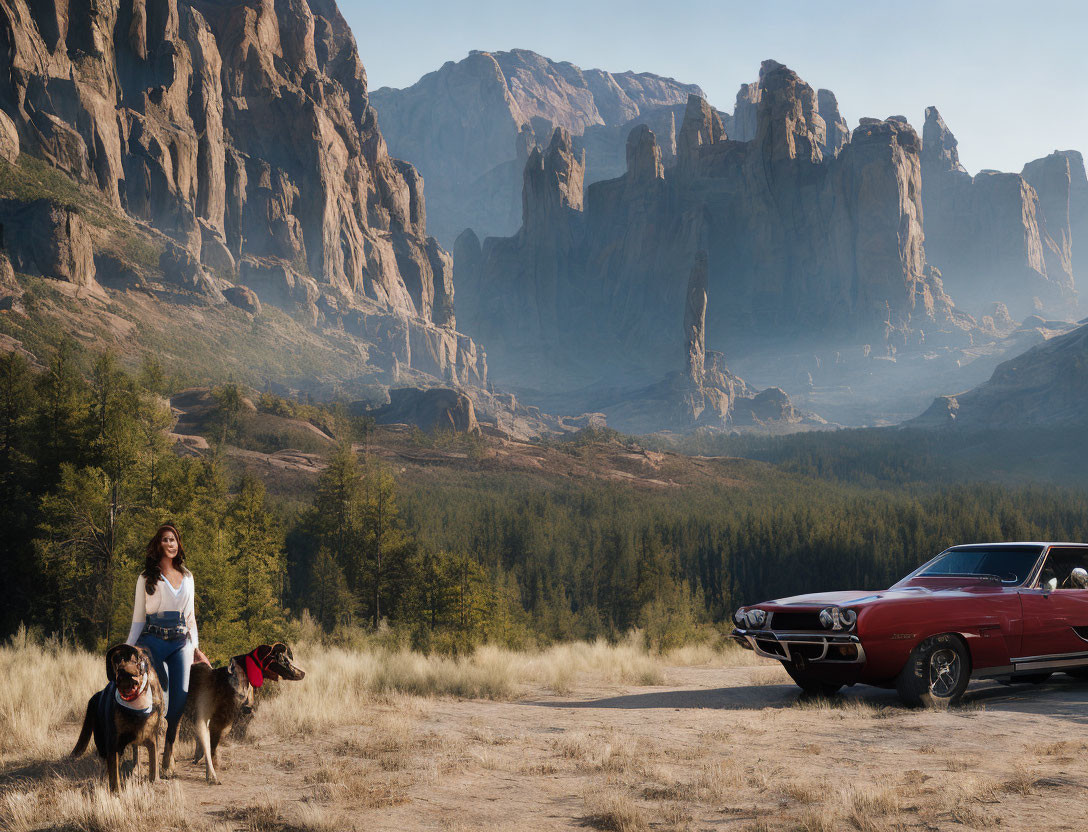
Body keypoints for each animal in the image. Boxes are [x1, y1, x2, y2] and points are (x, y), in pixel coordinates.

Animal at [71, 643, 164, 791]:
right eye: (119, 660)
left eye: (140, 661)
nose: (124, 672)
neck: (136, 709)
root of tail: (97, 695)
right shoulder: (113, 741)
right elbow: (114, 774)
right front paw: (116, 791)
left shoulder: (152, 738)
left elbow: (153, 764)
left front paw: (154, 782)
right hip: (101, 741)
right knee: (104, 764)